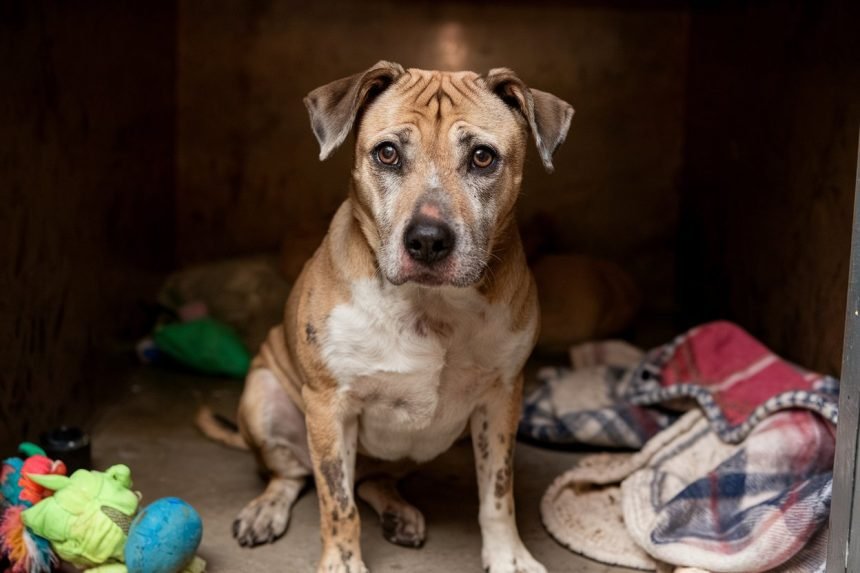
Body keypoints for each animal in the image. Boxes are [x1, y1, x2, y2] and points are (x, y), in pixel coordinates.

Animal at [203, 60, 572, 568]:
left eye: (482, 157)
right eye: (388, 154)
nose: (428, 241)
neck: (431, 306)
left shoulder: (501, 400)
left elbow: (498, 493)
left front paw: (508, 557)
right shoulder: (330, 405)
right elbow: (337, 503)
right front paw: (341, 563)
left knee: (374, 480)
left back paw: (399, 512)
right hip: (264, 398)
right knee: (294, 475)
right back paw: (266, 510)